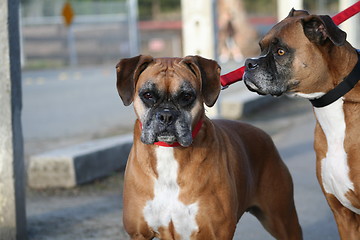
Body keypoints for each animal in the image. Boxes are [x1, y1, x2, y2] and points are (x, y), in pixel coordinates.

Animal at [115, 55, 300, 239]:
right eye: (148, 95)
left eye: (186, 96)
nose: (166, 115)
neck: (168, 152)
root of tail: (264, 135)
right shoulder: (139, 234)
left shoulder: (216, 233)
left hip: (282, 220)